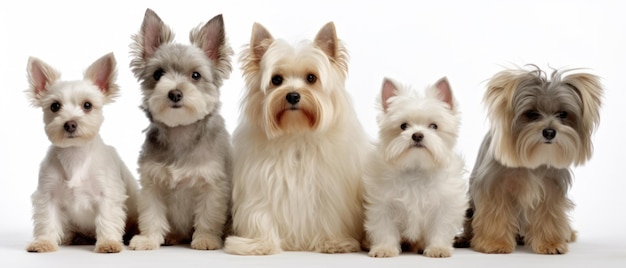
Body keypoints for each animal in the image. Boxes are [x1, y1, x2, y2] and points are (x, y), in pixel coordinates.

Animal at [25, 52, 138, 253]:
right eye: (54, 106)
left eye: (87, 105)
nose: (70, 124)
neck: (75, 155)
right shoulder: (47, 194)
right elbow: (47, 220)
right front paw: (44, 242)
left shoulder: (107, 194)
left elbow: (107, 218)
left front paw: (108, 242)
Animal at [128, 8, 233, 251]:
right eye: (158, 74)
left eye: (196, 75)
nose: (175, 93)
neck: (181, 132)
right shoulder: (152, 184)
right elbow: (151, 214)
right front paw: (149, 239)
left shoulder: (212, 185)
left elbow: (208, 215)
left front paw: (205, 239)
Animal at [224, 22, 370, 254]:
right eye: (276, 79)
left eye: (311, 78)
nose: (292, 95)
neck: (296, 135)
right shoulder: (261, 185)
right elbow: (260, 215)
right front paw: (259, 244)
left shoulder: (328, 189)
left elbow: (329, 216)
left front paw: (333, 242)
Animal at [364, 77, 466, 258]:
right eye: (403, 126)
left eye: (434, 126)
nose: (417, 135)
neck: (416, 169)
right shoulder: (383, 206)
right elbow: (384, 229)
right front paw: (384, 248)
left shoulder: (444, 206)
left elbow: (441, 227)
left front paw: (438, 248)